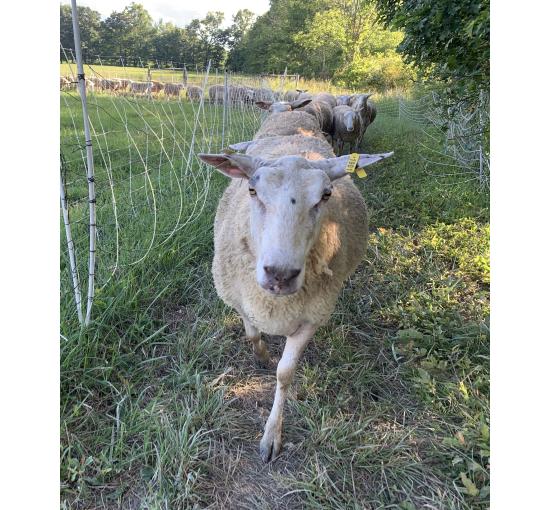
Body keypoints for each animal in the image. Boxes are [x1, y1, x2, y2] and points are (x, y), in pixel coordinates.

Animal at [198, 104, 392, 462]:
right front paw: (261, 355)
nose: (280, 274)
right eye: (252, 190)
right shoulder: (238, 297)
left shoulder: (312, 316)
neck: (276, 303)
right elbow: (251, 333)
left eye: (326, 195)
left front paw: (272, 434)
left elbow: (284, 374)